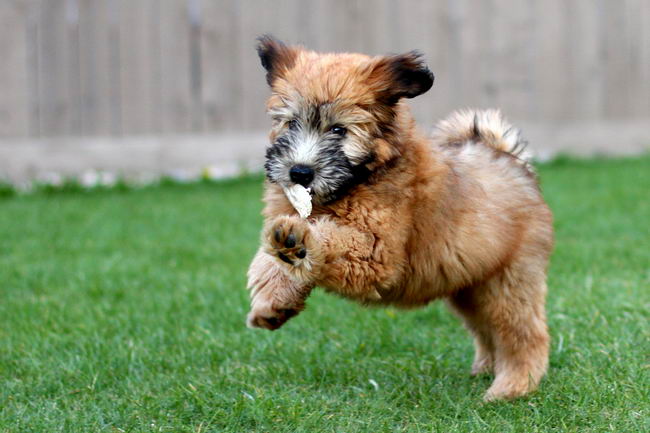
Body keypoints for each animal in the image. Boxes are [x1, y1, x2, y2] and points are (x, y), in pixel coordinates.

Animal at [246, 35, 548, 400]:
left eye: (339, 130)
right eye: (290, 122)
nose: (299, 172)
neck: (360, 179)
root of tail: (511, 161)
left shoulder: (377, 252)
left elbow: (333, 237)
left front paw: (301, 240)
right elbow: (267, 260)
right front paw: (270, 302)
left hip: (510, 279)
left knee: (523, 335)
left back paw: (511, 386)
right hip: (471, 285)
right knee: (488, 329)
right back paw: (487, 369)